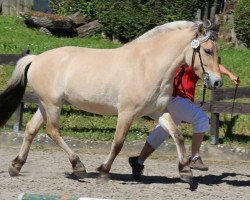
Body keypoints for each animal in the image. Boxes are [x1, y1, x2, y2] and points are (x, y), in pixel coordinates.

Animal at [0, 20, 223, 183]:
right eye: (208, 51)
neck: (148, 65)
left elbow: (177, 135)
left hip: (45, 105)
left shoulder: (158, 111)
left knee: (31, 129)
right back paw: (78, 166)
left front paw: (186, 171)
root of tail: (36, 59)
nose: (217, 81)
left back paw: (16, 166)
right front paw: (103, 170)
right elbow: (118, 143)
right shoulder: (127, 113)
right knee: (53, 131)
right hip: (53, 105)